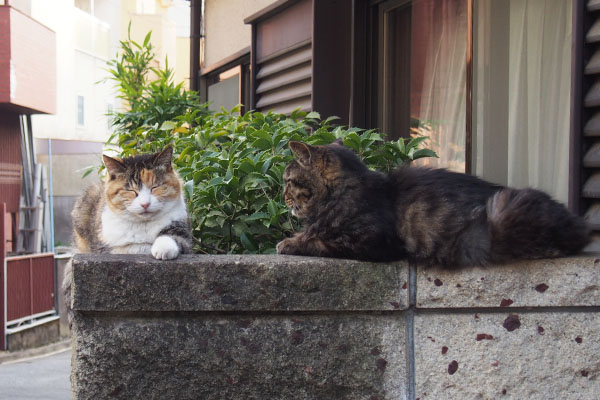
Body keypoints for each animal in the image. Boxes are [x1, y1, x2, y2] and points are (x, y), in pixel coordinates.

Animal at [276, 139, 592, 268]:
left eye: (288, 180)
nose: (282, 196)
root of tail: (579, 223)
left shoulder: (371, 241)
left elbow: (320, 240)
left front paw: (289, 242)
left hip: (505, 207)